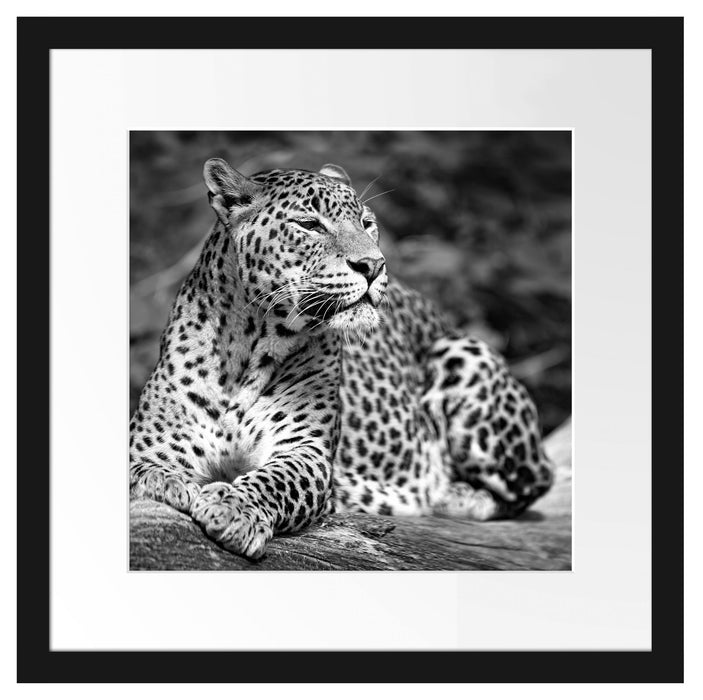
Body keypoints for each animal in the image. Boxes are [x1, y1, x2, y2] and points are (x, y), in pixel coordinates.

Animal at [130, 157, 554, 560]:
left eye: (367, 224)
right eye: (309, 225)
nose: (374, 265)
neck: (249, 346)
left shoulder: (306, 452)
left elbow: (274, 481)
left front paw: (233, 508)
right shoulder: (152, 442)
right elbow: (143, 469)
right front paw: (165, 482)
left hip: (464, 353)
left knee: (535, 482)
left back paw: (453, 495)